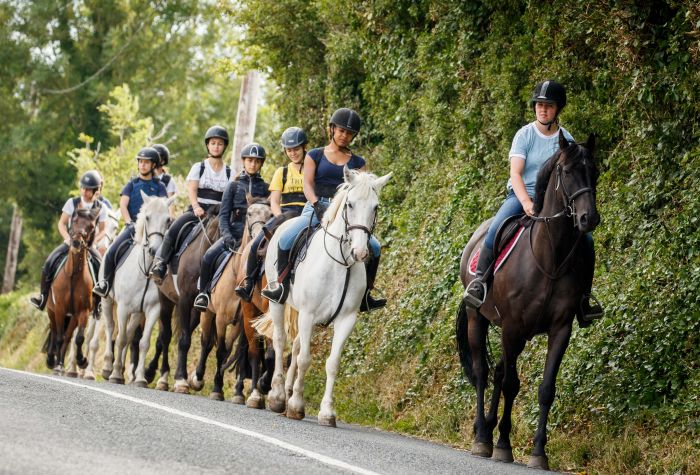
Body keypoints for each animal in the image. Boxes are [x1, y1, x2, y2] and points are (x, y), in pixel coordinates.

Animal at [45, 208, 100, 376]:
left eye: (91, 226)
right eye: (74, 221)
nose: (76, 243)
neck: (74, 275)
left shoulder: (83, 312)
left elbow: (79, 338)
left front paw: (82, 361)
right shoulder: (59, 309)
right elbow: (58, 337)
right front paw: (55, 364)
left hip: (73, 317)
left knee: (68, 336)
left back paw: (60, 363)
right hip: (51, 311)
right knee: (55, 332)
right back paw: (52, 360)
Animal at [260, 169, 392, 426]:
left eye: (376, 207)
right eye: (350, 204)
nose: (360, 253)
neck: (341, 263)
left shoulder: (346, 320)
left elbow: (332, 363)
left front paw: (327, 412)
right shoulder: (308, 314)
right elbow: (305, 359)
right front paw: (296, 406)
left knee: (296, 345)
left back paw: (288, 391)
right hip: (277, 301)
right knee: (281, 341)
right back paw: (278, 396)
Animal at [456, 132, 600, 470]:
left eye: (595, 172)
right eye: (568, 172)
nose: (588, 218)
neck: (551, 257)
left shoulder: (560, 330)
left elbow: (545, 389)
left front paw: (538, 453)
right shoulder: (511, 327)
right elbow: (512, 384)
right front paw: (503, 445)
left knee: (497, 371)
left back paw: (488, 428)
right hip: (478, 319)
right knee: (483, 373)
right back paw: (481, 437)